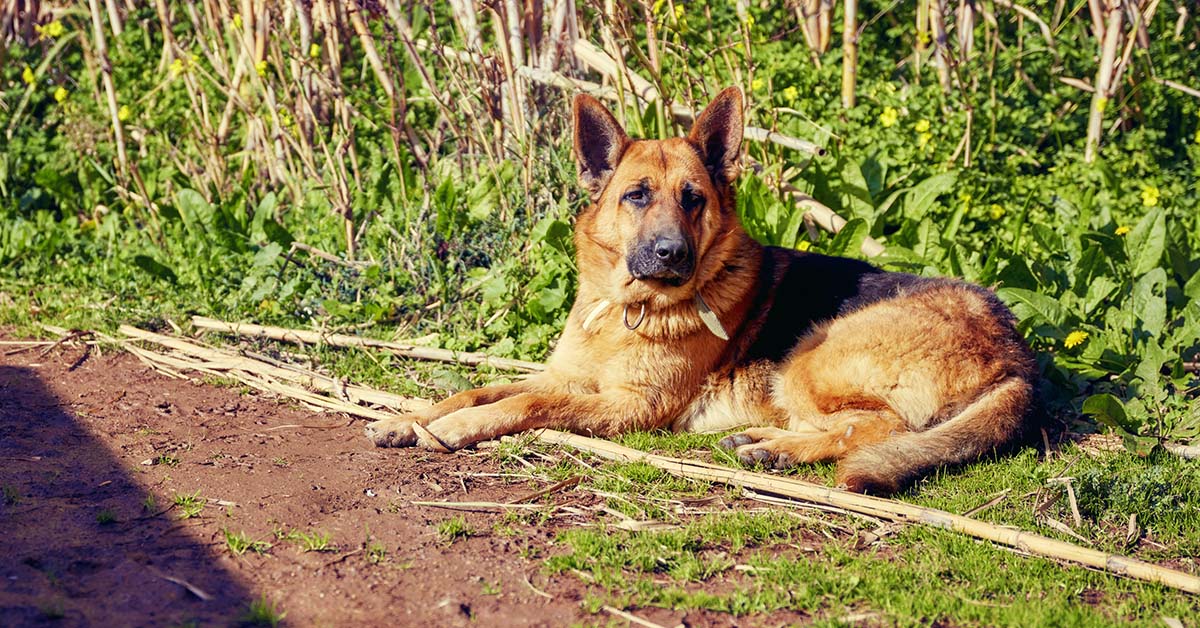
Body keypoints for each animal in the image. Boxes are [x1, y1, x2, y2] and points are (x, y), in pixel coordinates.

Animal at [362, 85, 1032, 494]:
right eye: (636, 196)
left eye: (694, 200)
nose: (672, 254)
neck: (626, 309)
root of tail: (1018, 352)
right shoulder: (564, 379)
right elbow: (478, 389)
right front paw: (411, 419)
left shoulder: (629, 407)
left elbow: (522, 405)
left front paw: (453, 431)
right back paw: (766, 444)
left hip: (813, 355)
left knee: (879, 429)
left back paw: (777, 450)